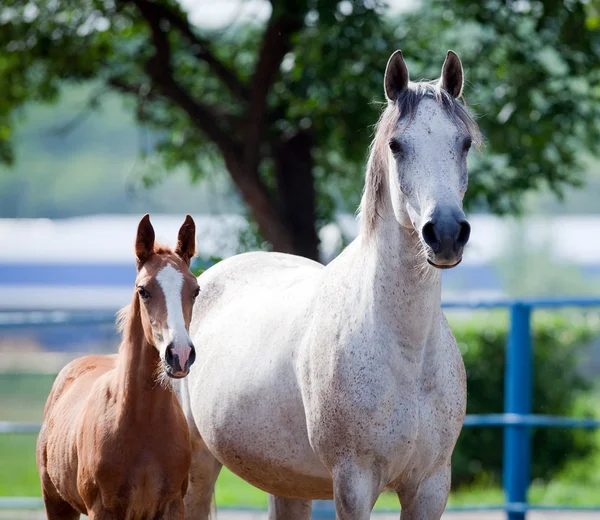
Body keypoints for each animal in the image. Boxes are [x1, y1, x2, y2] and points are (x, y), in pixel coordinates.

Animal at [37, 214, 199, 520]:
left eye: (195, 290)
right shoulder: (102, 509)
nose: (180, 354)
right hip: (56, 501)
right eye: (143, 290)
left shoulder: (173, 504)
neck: (143, 422)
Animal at [180, 49, 480, 520]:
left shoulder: (430, 486)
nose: (446, 233)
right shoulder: (354, 483)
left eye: (463, 142)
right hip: (197, 468)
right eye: (396, 145)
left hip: (285, 482)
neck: (405, 350)